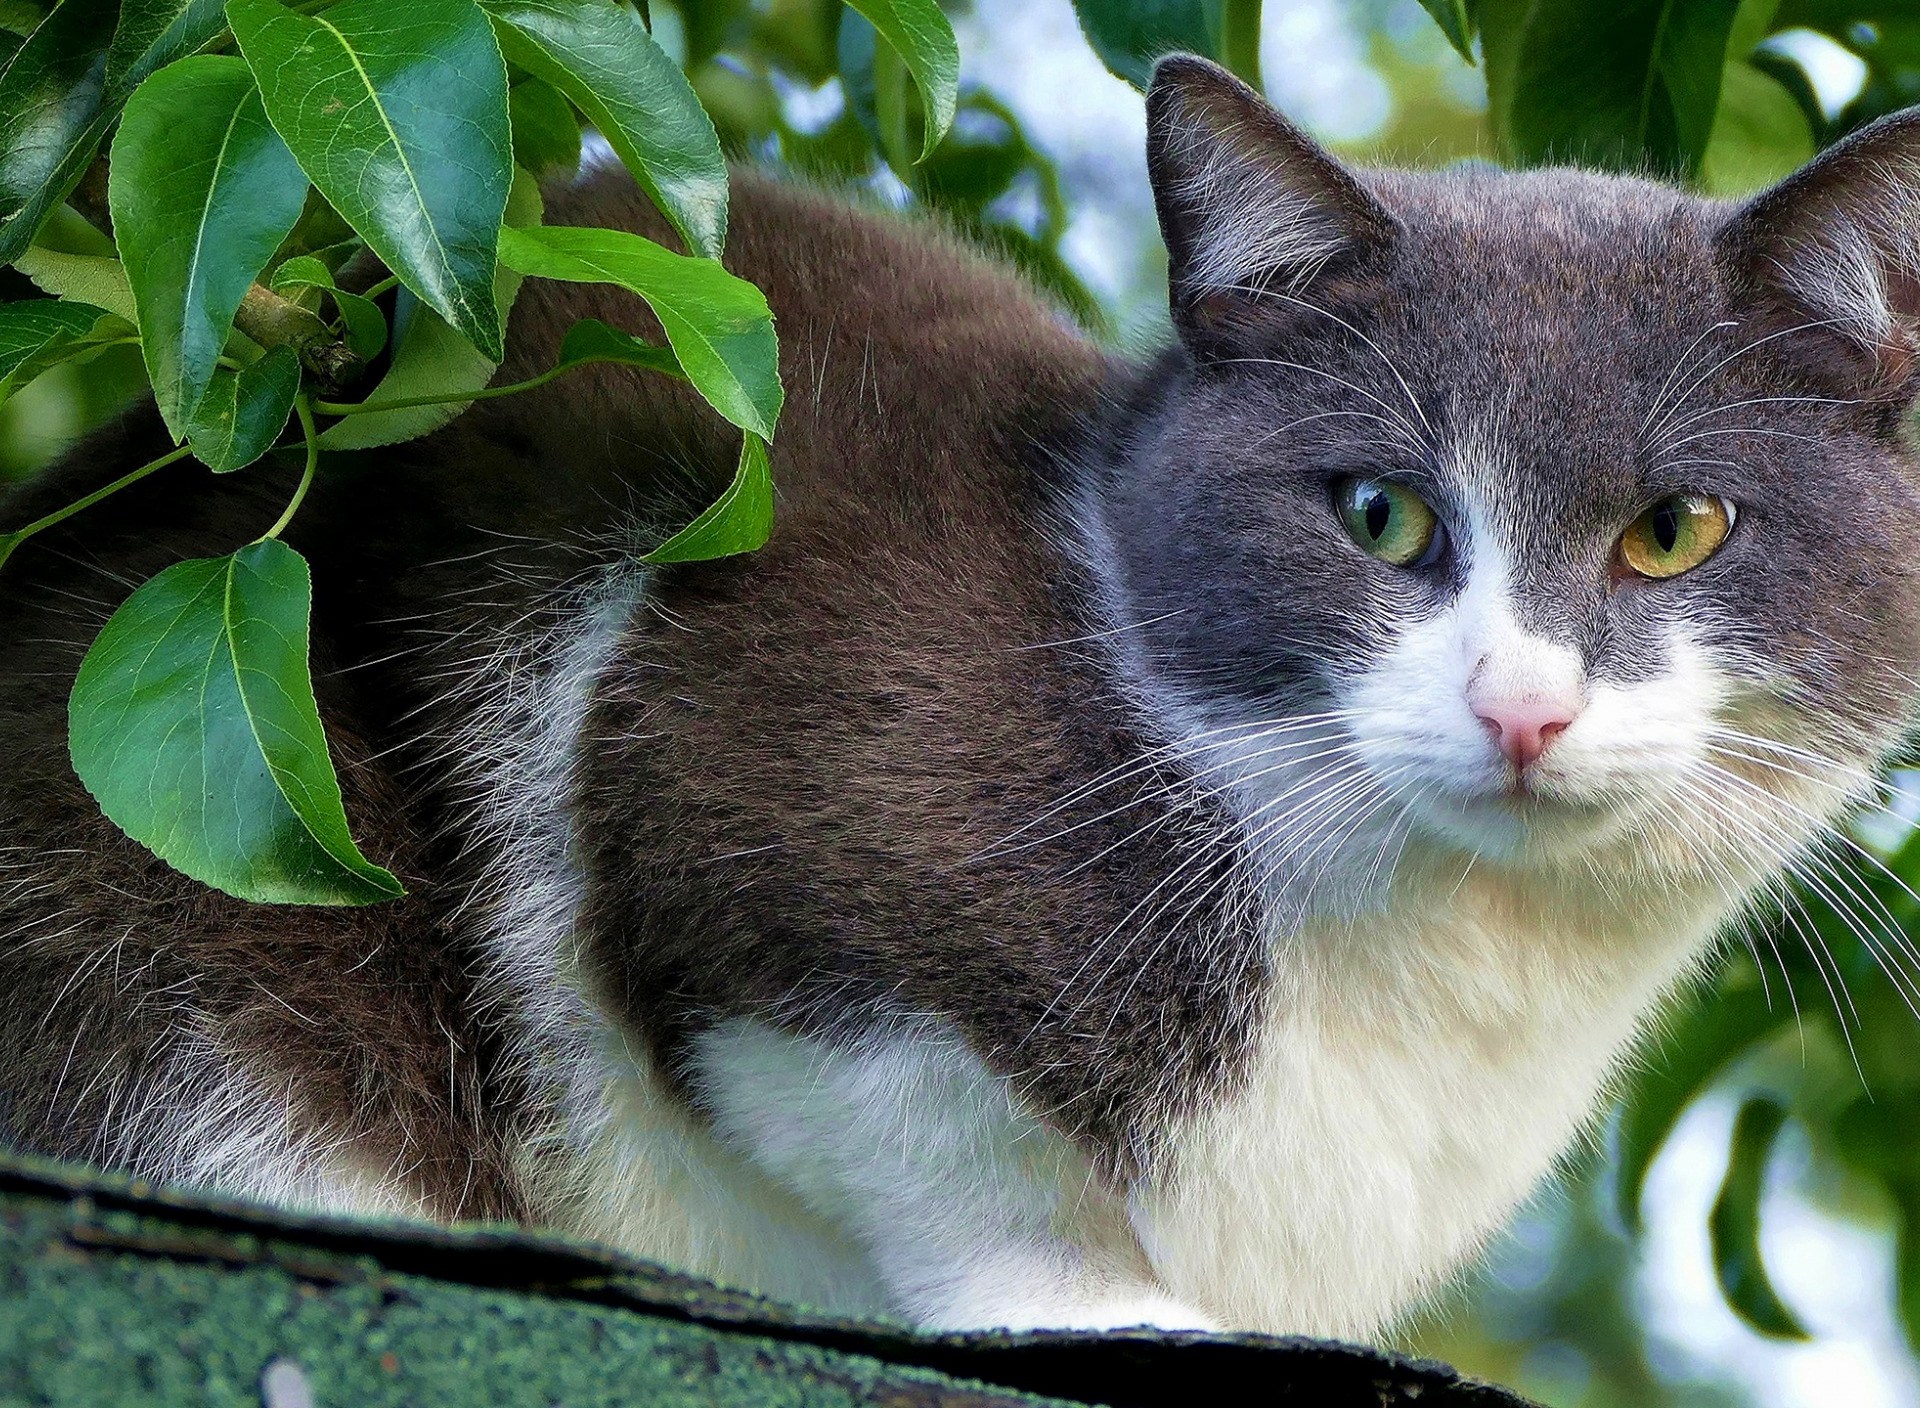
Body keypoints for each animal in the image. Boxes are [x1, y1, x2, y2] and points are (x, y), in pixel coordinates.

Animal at [3, 54, 1920, 1336]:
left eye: (1675, 530)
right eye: (1381, 514)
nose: (1524, 707)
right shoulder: (726, 774)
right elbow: (927, 1117)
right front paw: (1096, 1306)